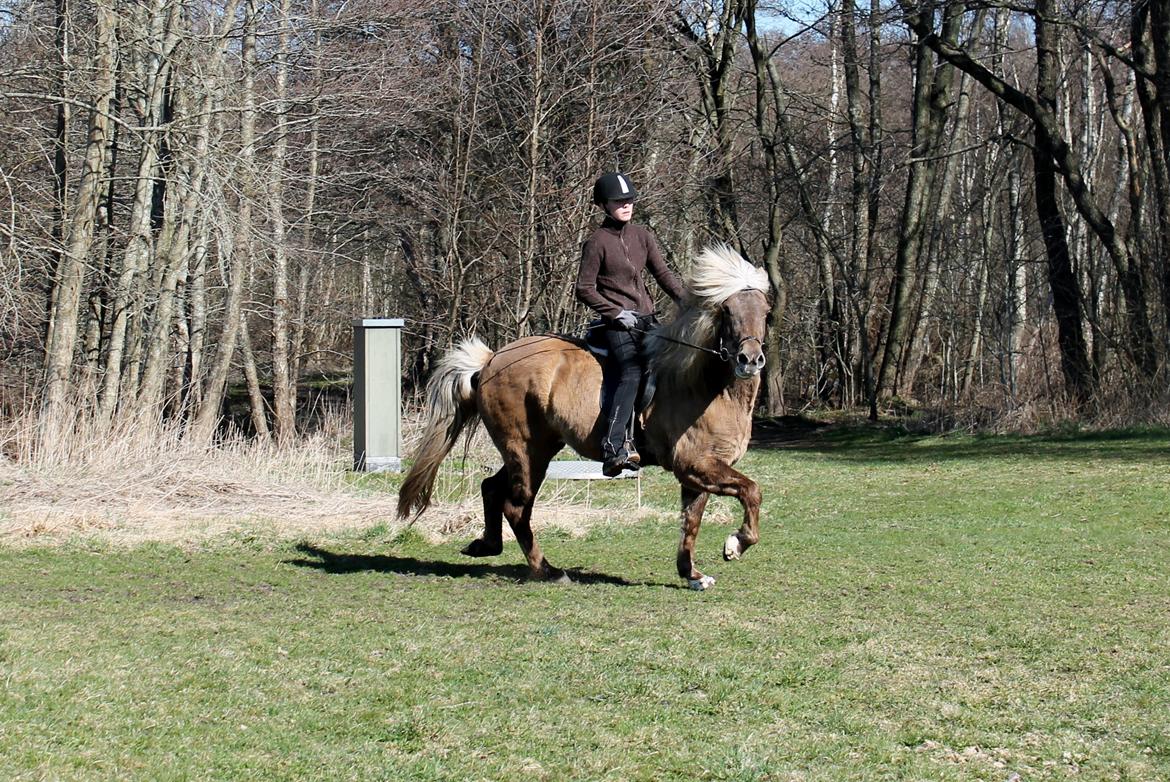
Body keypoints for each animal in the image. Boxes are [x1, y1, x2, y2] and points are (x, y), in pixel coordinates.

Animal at [397, 244, 772, 585]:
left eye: (766, 311)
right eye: (727, 311)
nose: (750, 360)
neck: (705, 385)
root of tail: (491, 360)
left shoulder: (700, 470)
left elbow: (691, 520)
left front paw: (692, 574)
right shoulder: (694, 463)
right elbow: (751, 491)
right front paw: (736, 543)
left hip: (538, 448)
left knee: (493, 488)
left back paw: (486, 546)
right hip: (527, 450)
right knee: (517, 507)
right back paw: (547, 571)